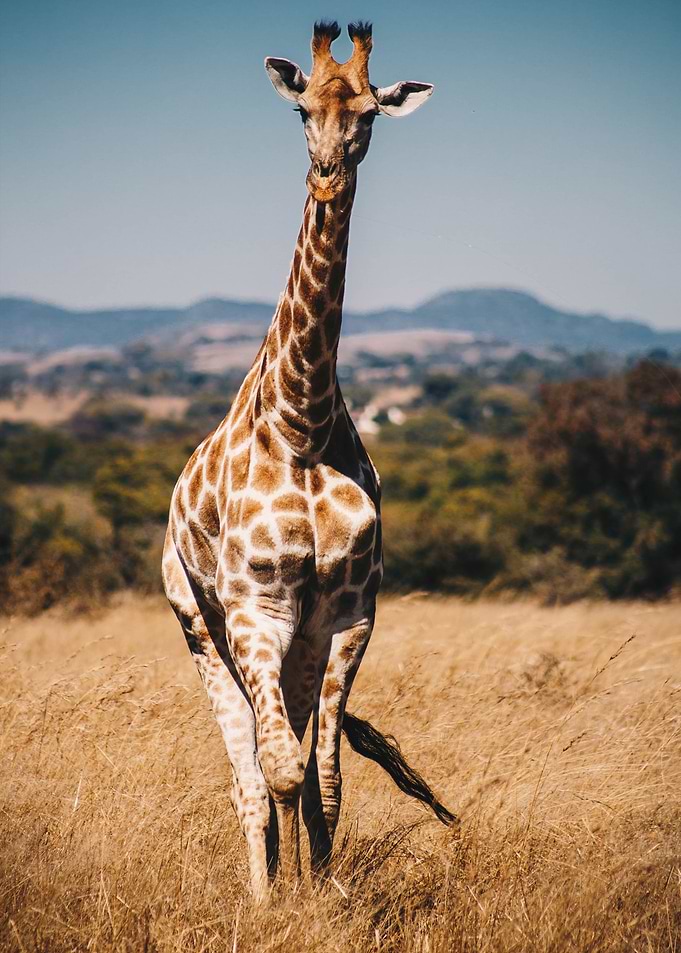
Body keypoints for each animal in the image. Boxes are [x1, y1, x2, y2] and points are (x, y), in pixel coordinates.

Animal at [162, 21, 456, 901]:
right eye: (300, 111)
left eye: (368, 113)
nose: (326, 175)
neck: (302, 422)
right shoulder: (256, 607)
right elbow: (280, 770)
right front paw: (281, 906)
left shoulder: (347, 614)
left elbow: (323, 776)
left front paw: (328, 895)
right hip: (199, 623)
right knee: (247, 774)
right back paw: (262, 894)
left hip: (290, 641)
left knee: (289, 753)